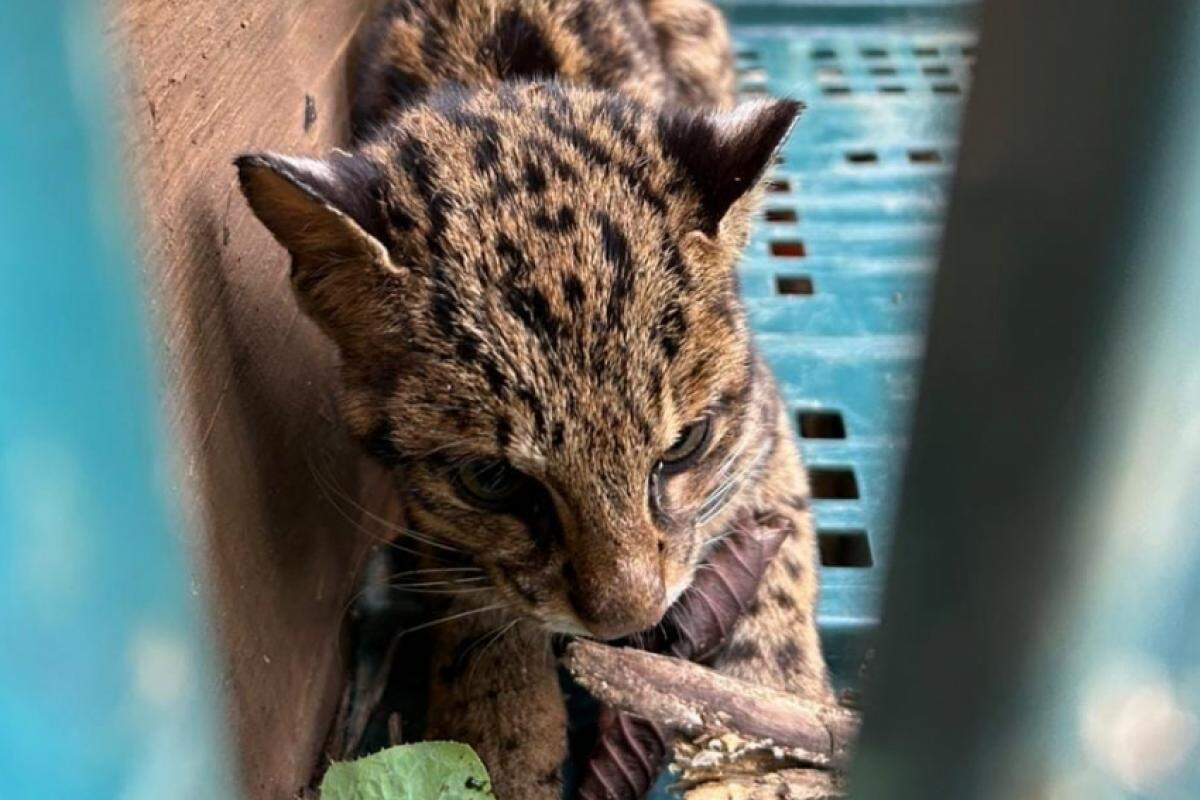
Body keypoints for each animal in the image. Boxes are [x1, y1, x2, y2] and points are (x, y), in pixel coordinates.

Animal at [234, 0, 835, 796]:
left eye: (684, 447)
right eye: (491, 481)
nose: (627, 620)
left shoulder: (759, 423)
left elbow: (780, 555)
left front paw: (775, 731)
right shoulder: (436, 512)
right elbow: (478, 610)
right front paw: (501, 746)